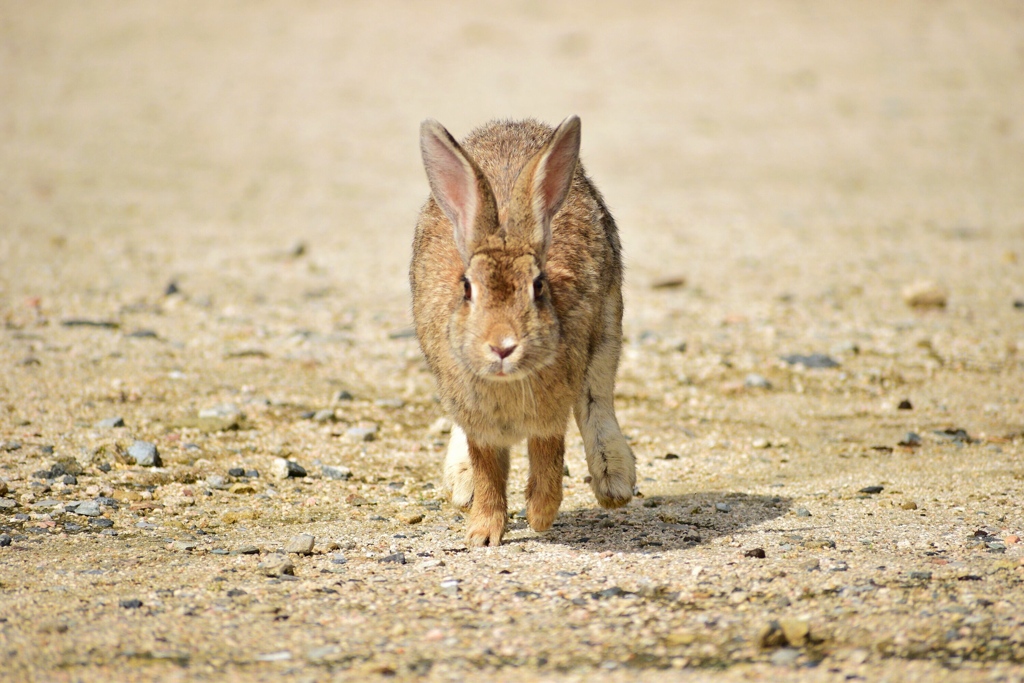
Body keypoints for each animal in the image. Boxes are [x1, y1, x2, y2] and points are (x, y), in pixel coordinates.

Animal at [407, 116, 630, 544]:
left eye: (538, 286)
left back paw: (616, 480)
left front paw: (540, 517)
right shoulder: (478, 424)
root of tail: (513, 124)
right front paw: (483, 533)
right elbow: (488, 472)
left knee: (597, 399)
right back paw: (461, 485)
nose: (502, 346)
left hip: (608, 326)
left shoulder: (550, 415)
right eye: (467, 288)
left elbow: (547, 462)